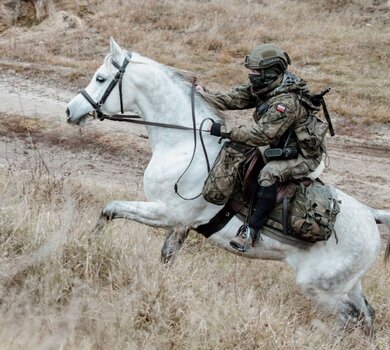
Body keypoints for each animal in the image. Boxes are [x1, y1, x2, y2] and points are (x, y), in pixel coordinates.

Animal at [65, 37, 388, 334]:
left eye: (100, 78)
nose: (70, 111)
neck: (184, 143)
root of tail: (371, 217)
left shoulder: (167, 214)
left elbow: (110, 209)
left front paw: (89, 244)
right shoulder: (178, 225)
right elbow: (166, 257)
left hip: (323, 289)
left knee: (350, 319)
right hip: (348, 286)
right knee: (367, 316)